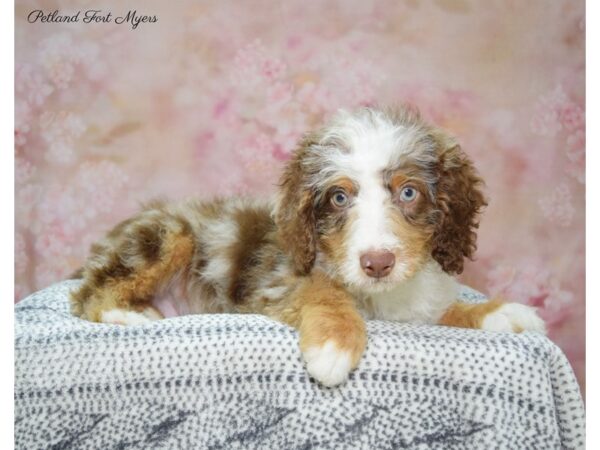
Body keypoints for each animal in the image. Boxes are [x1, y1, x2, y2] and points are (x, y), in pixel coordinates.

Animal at [69, 105, 544, 386]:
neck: (379, 295)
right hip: (168, 234)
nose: (377, 263)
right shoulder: (274, 282)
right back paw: (130, 314)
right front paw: (334, 343)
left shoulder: (418, 305)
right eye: (339, 197)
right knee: (87, 295)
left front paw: (500, 312)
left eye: (408, 192)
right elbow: (321, 289)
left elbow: (447, 309)